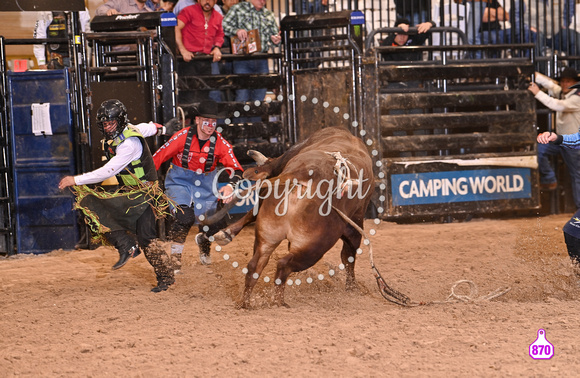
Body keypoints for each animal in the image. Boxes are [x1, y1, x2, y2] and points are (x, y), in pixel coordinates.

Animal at [215, 127, 374, 308]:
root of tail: (301, 174)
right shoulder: (354, 222)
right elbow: (348, 254)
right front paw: (351, 286)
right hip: (315, 245)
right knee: (284, 265)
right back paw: (279, 302)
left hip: (269, 236)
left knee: (255, 265)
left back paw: (246, 303)